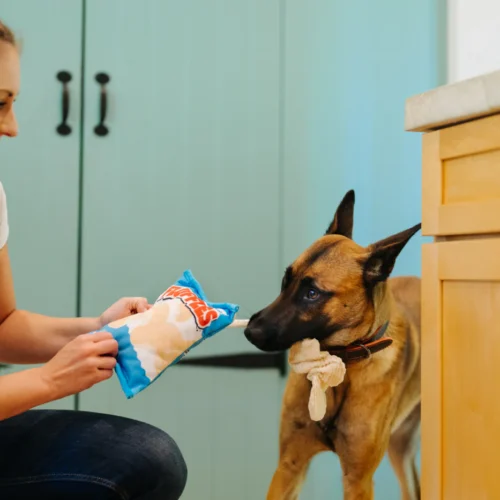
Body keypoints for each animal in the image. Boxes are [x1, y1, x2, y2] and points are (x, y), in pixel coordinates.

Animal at [244, 189, 420, 498]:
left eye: (312, 293)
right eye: (285, 280)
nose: (250, 332)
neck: (338, 363)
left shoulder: (358, 480)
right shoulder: (289, 466)